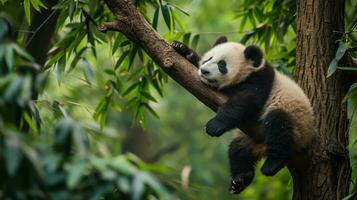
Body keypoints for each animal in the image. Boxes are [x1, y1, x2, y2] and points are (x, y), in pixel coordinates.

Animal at [171, 36, 312, 195]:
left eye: (222, 65)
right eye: (209, 58)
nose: (204, 71)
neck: (248, 71)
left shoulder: (260, 80)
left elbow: (244, 101)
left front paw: (214, 126)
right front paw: (181, 48)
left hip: (296, 123)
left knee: (278, 125)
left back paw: (272, 165)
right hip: (247, 138)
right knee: (238, 151)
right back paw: (240, 180)